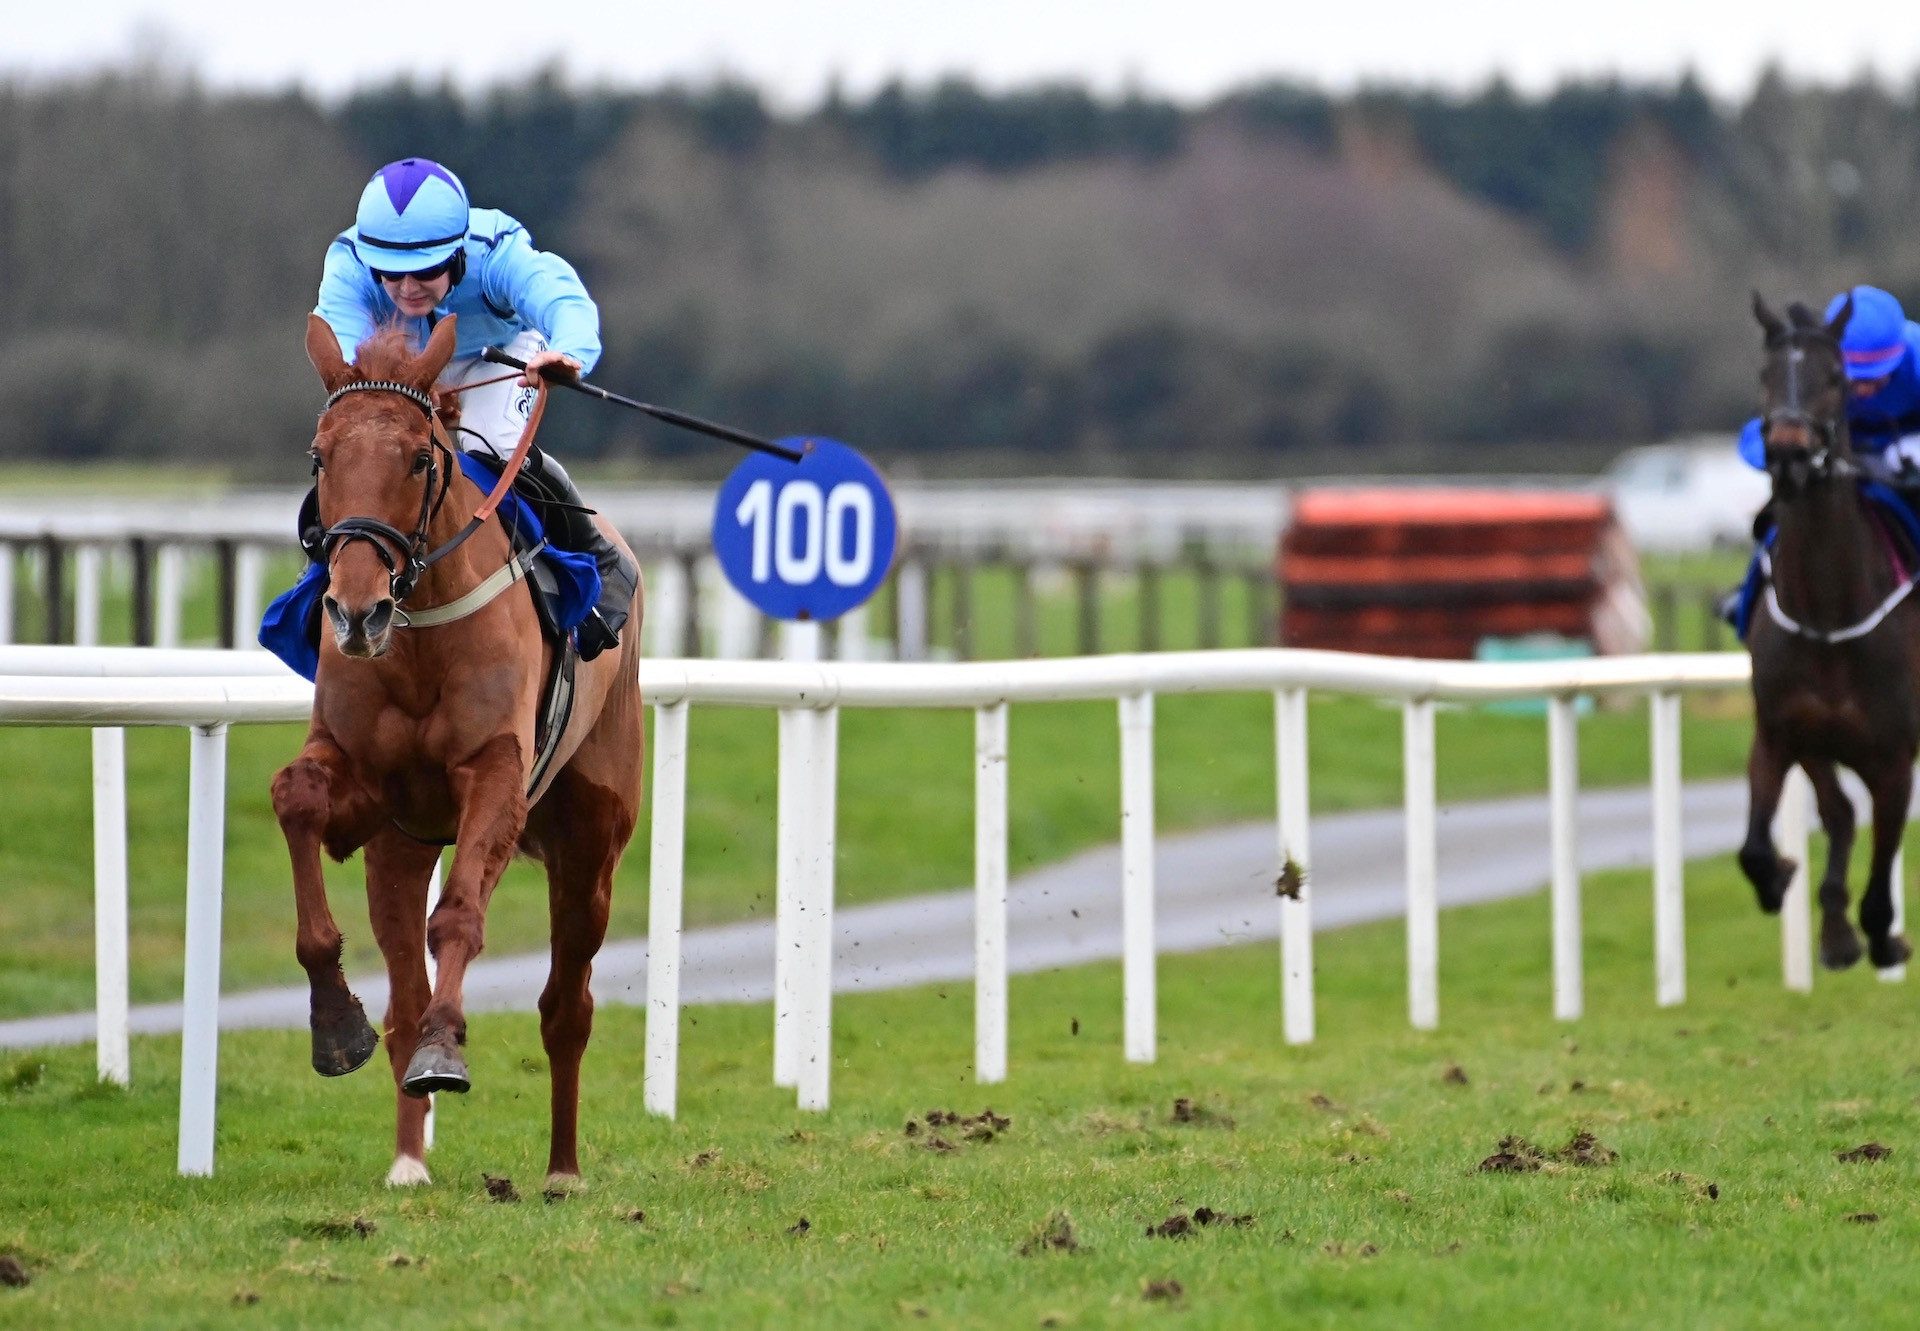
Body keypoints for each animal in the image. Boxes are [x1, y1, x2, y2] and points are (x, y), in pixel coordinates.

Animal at [274, 316, 645, 1190]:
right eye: (320, 456)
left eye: (418, 456)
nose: (357, 610)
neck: (419, 640)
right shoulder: (370, 793)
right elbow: (295, 793)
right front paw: (334, 1020)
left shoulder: (497, 777)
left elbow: (462, 917)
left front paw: (447, 1047)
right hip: (401, 852)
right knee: (404, 999)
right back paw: (409, 1161)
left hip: (591, 846)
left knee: (567, 1005)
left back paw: (562, 1169)